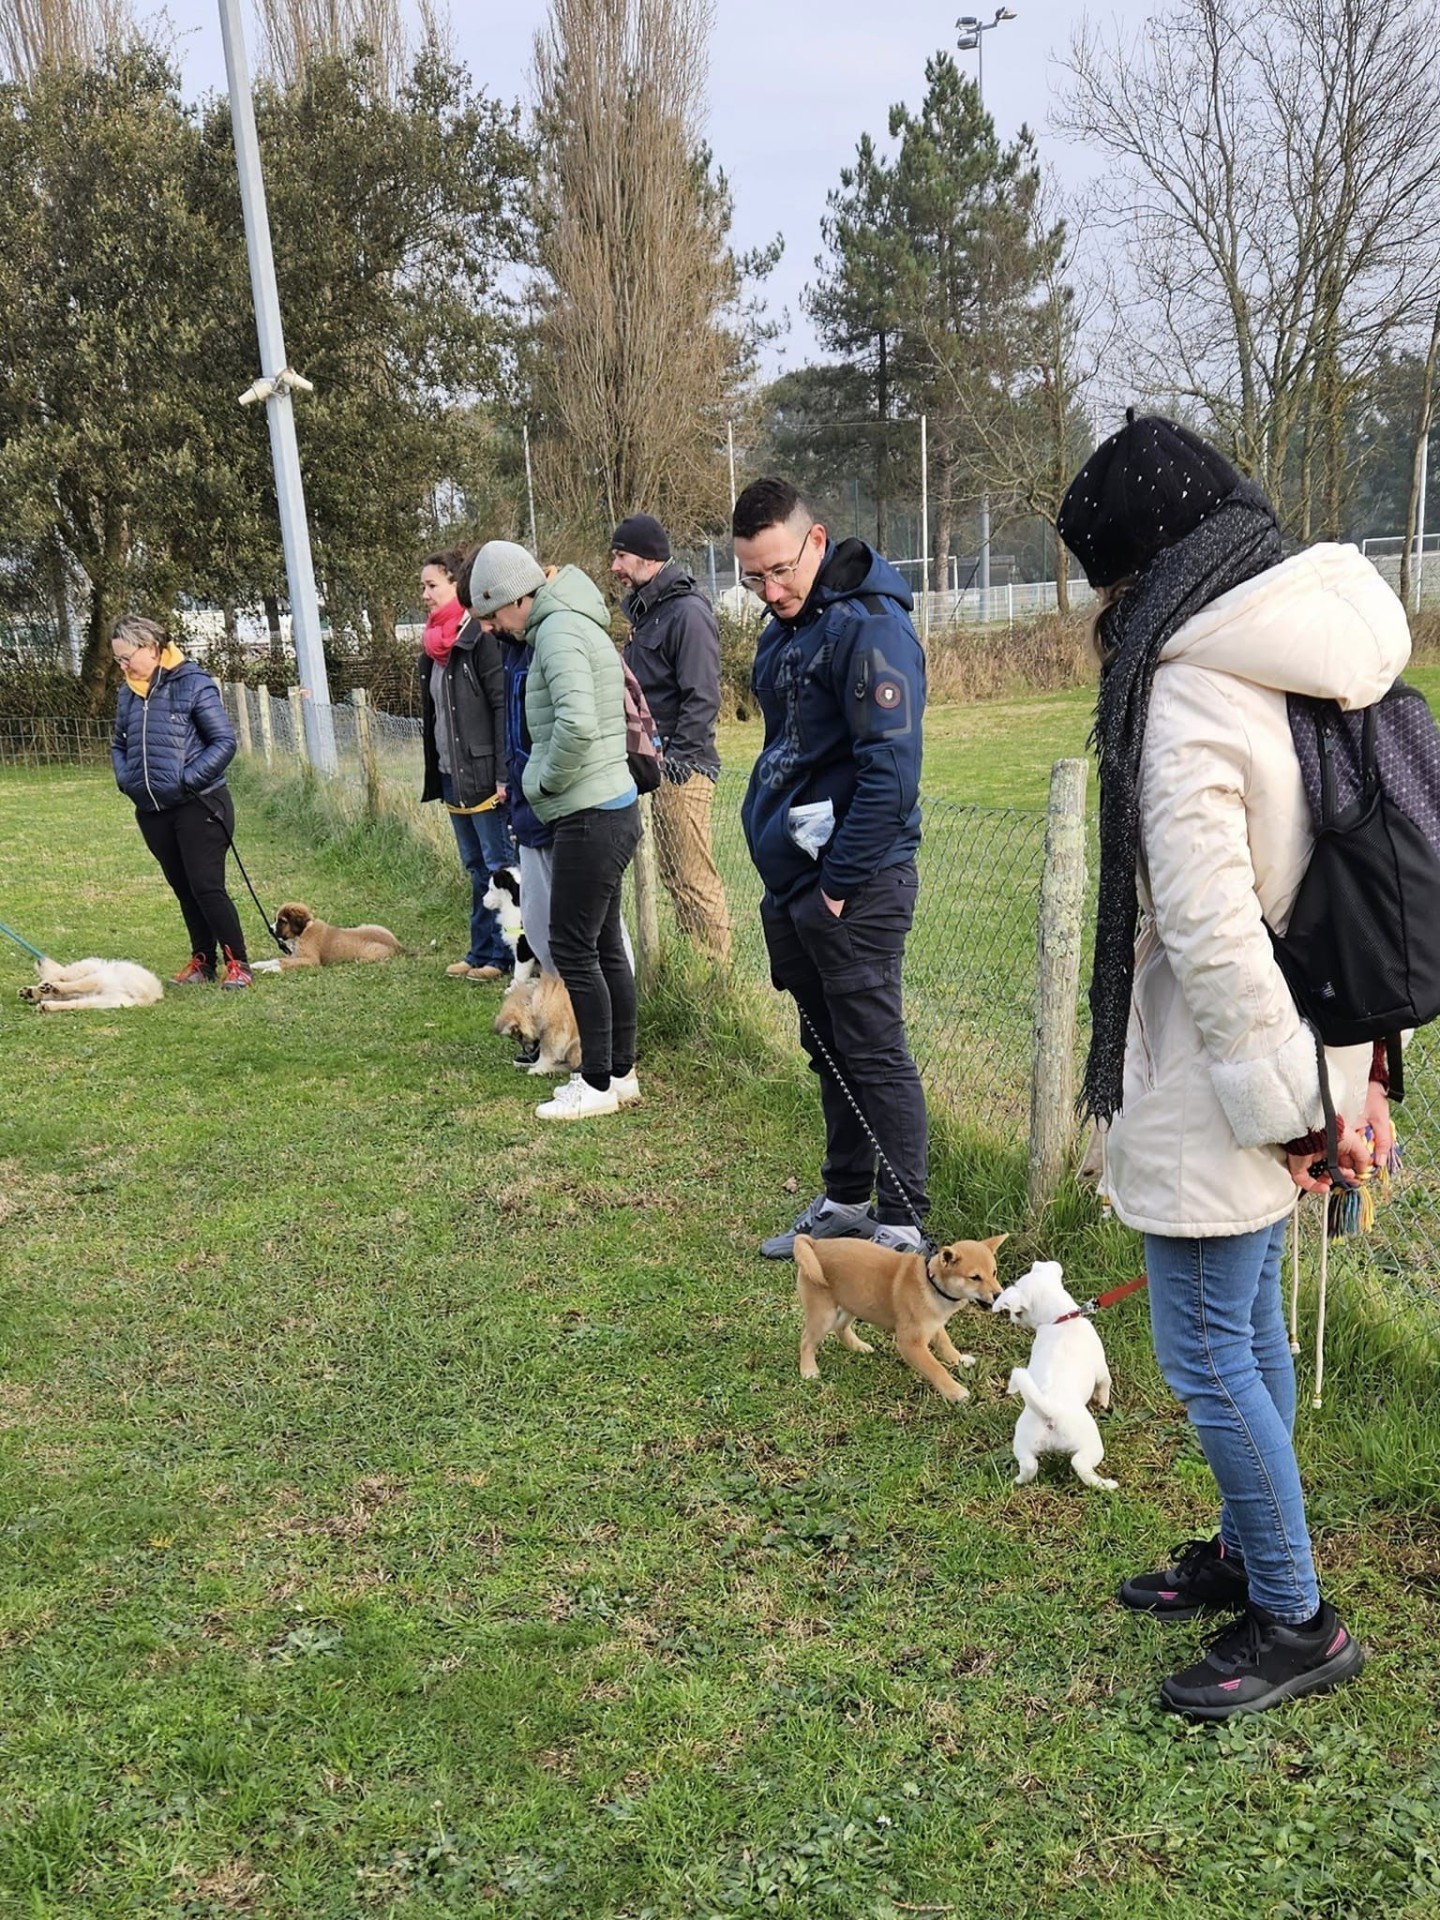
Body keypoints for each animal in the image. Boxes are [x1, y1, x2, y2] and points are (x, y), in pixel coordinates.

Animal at [272, 902, 403, 967]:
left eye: (282, 921)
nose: (271, 929)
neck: (304, 931)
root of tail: (397, 944)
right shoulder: (296, 956)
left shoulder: (311, 960)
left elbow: (282, 962)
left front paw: (273, 968)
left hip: (368, 954)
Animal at [794, 1236, 1006, 1405]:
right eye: (975, 1277)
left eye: (994, 1273)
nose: (999, 1294)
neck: (931, 1284)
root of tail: (815, 1244)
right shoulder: (910, 1344)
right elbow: (936, 1368)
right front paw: (955, 1392)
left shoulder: (934, 1325)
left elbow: (946, 1344)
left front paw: (959, 1359)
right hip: (824, 1314)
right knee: (806, 1341)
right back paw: (808, 1370)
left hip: (854, 1301)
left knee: (840, 1328)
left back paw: (858, 1347)